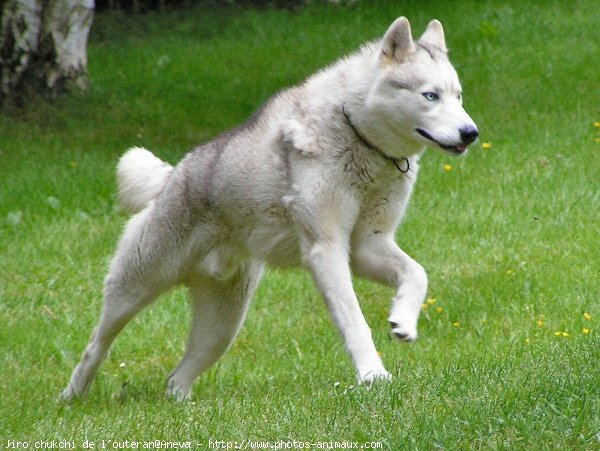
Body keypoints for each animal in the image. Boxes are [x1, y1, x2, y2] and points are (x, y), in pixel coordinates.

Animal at [62, 15, 478, 400]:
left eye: (458, 96)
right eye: (430, 95)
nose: (471, 133)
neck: (358, 134)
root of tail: (171, 178)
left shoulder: (366, 247)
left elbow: (418, 274)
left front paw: (403, 321)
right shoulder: (326, 249)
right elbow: (355, 320)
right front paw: (374, 376)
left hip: (222, 328)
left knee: (177, 376)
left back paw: (181, 406)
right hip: (135, 288)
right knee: (97, 344)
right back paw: (73, 394)